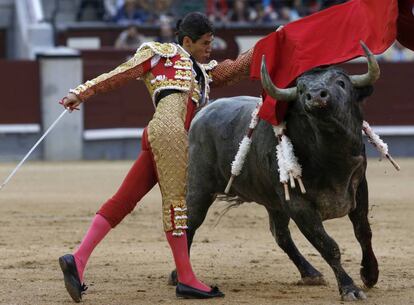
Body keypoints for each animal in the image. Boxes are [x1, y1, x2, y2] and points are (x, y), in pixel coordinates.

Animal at [181, 44, 382, 300]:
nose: (316, 96)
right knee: (190, 222)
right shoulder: (298, 205)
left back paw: (310, 273)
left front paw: (370, 274)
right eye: (301, 89)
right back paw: (181, 277)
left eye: (341, 82)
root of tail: (203, 112)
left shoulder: (359, 186)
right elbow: (328, 245)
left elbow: (363, 232)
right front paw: (350, 288)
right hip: (199, 188)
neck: (330, 156)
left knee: (281, 235)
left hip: (273, 201)